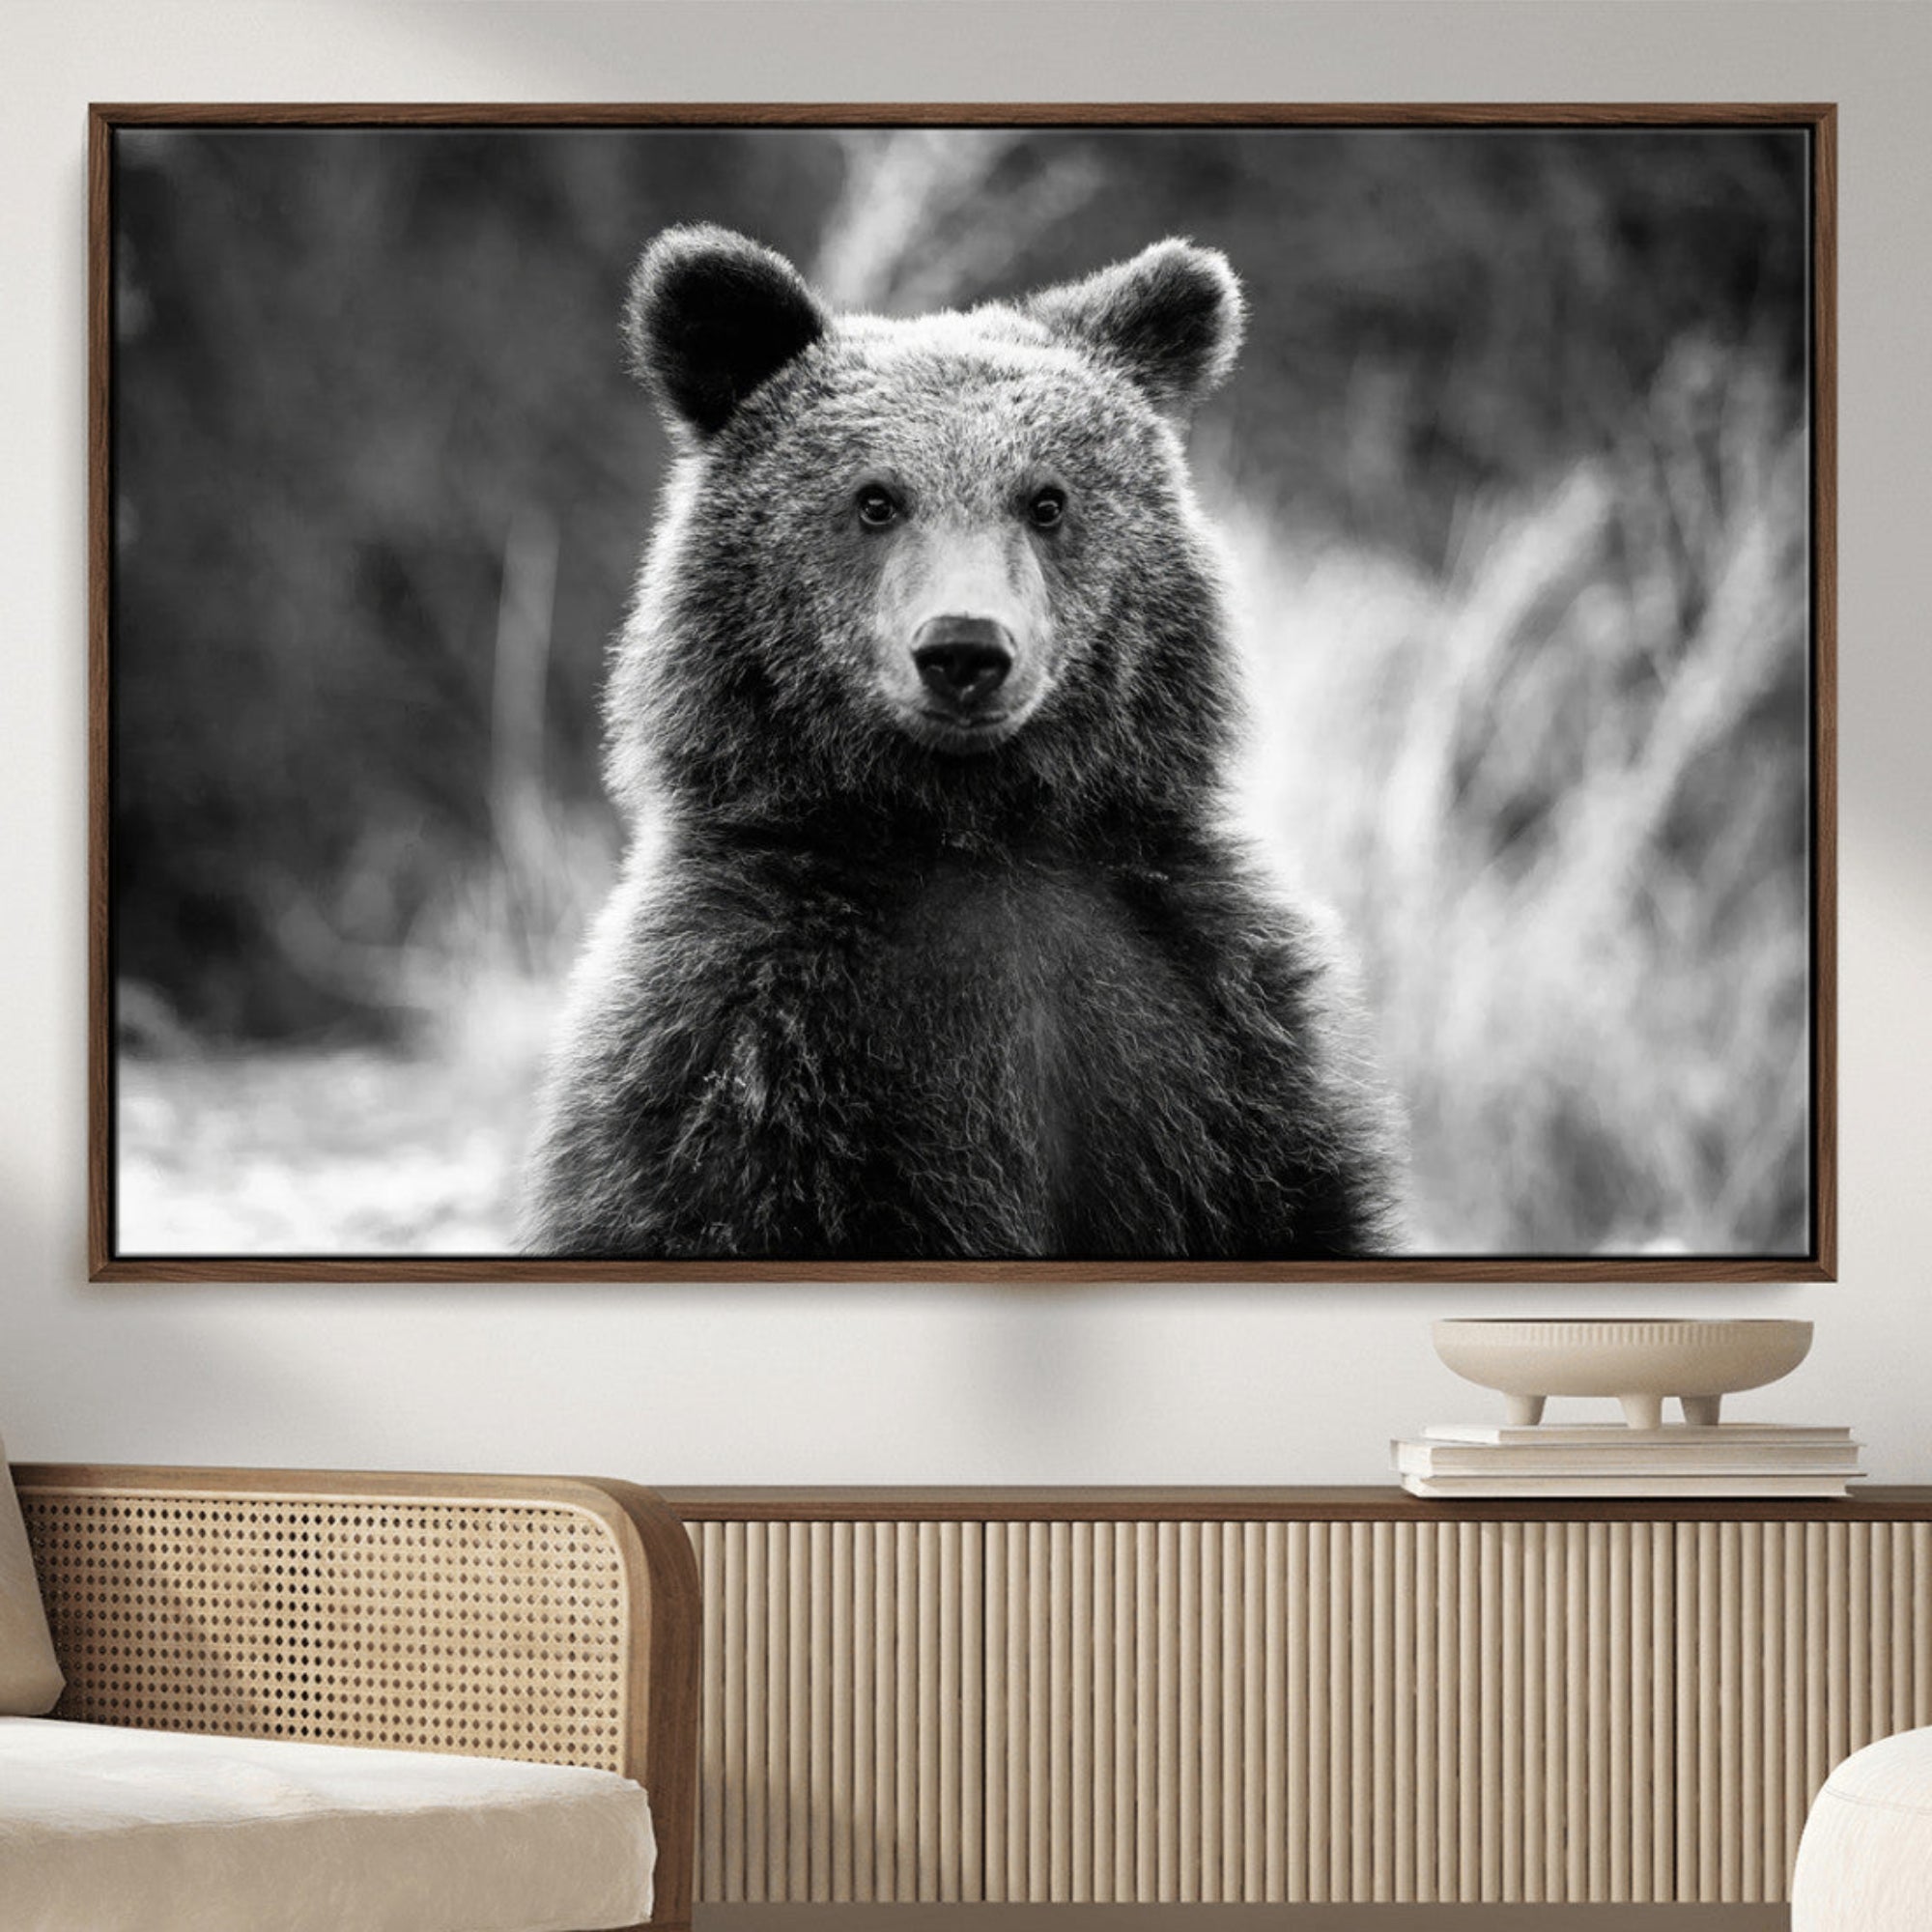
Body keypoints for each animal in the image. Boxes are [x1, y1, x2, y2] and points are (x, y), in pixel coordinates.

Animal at [519, 225, 1402, 1261]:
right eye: (875, 499)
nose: (965, 650)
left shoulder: (1216, 1029)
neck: (975, 831)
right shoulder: (739, 1043)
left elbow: (1292, 1196)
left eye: (1047, 500)